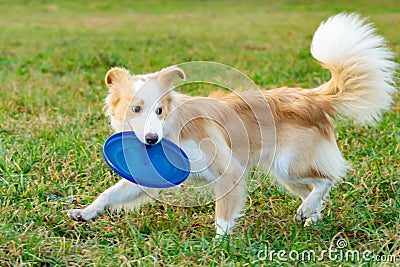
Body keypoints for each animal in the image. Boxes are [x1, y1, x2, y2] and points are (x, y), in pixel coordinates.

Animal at [69, 13, 396, 238]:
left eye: (160, 110)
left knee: (327, 179)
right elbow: (111, 194)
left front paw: (219, 245)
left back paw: (307, 210)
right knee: (315, 189)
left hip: (289, 164)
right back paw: (311, 217)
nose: (151, 140)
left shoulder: (229, 171)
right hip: (287, 173)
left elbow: (223, 215)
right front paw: (85, 212)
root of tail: (310, 97)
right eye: (135, 109)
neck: (172, 128)